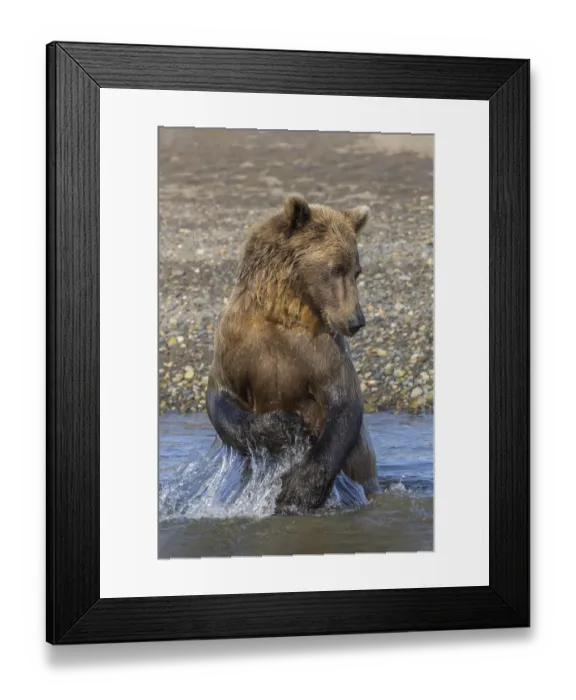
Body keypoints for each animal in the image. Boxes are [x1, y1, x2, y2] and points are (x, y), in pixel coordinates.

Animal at [206, 194, 379, 514]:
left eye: (356, 271)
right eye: (335, 268)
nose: (356, 320)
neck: (281, 310)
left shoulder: (322, 350)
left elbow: (344, 402)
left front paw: (299, 490)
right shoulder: (235, 342)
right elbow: (223, 399)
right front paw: (285, 428)